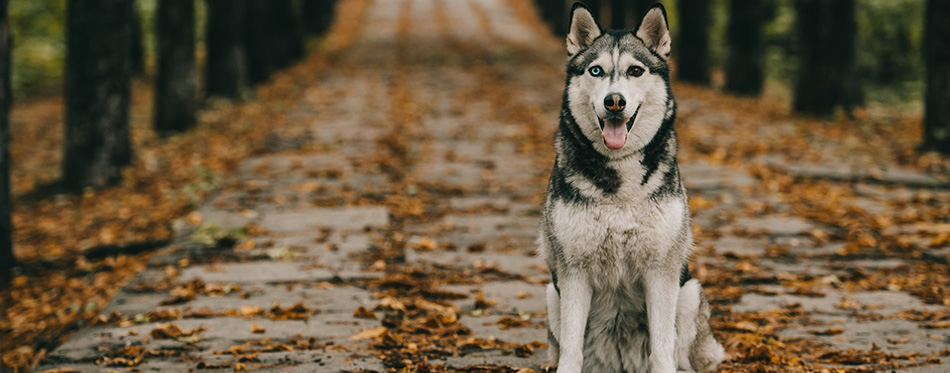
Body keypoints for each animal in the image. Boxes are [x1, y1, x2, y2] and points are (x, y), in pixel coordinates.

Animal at [540, 2, 724, 372]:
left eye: (635, 70)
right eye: (596, 71)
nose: (615, 101)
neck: (620, 182)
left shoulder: (661, 271)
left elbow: (662, 347)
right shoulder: (573, 272)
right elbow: (571, 347)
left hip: (689, 292)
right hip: (551, 294)